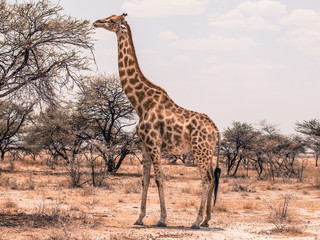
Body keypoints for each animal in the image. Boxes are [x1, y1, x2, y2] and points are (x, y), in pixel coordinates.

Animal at [94, 13, 221, 229]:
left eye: (111, 20)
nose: (95, 22)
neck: (141, 102)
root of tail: (216, 129)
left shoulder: (154, 143)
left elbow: (160, 178)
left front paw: (162, 218)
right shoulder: (144, 145)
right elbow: (145, 179)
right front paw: (139, 217)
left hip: (199, 150)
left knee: (205, 179)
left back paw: (196, 221)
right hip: (208, 152)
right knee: (212, 178)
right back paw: (206, 219)